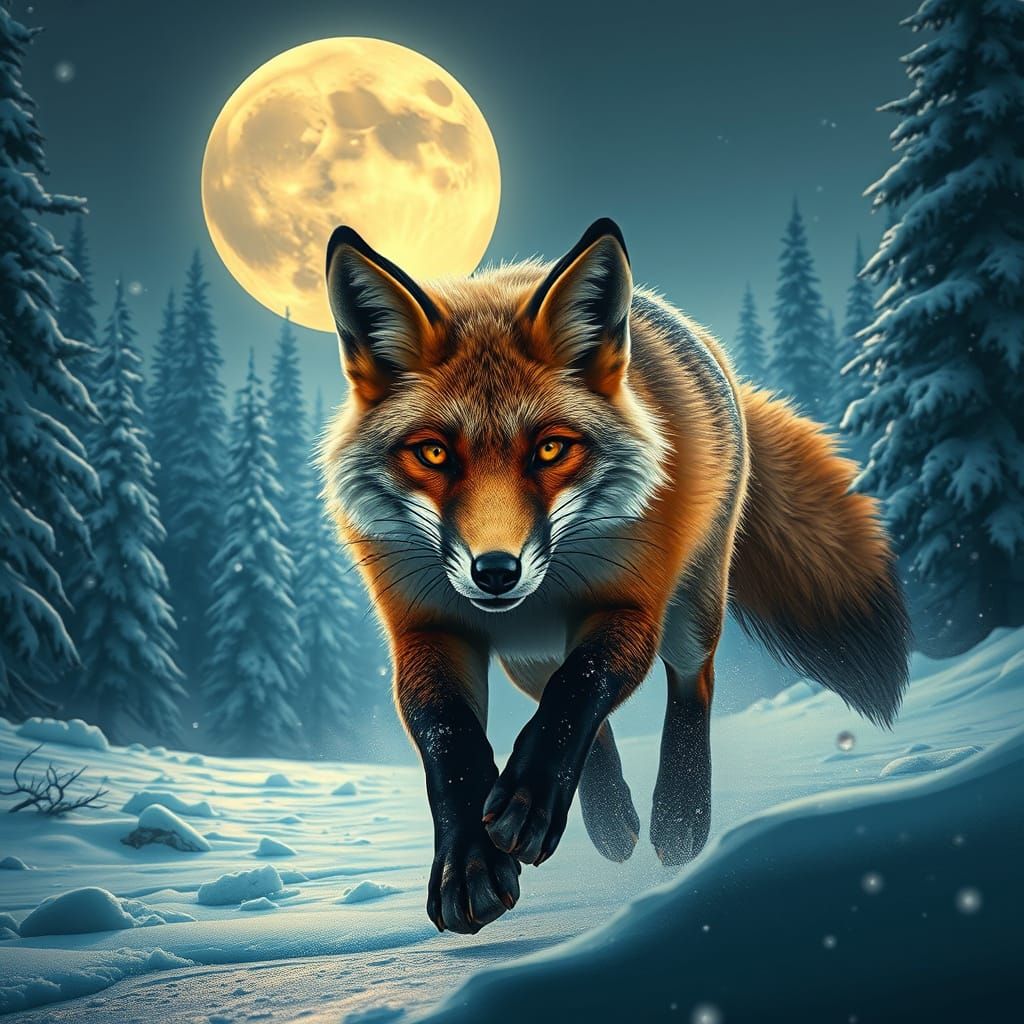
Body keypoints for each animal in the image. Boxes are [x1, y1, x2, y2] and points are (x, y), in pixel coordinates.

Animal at [319, 217, 911, 935]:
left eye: (551, 448)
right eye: (433, 453)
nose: (496, 572)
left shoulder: (633, 605)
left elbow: (583, 685)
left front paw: (529, 800)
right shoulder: (427, 628)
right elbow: (449, 735)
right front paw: (471, 861)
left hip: (692, 608)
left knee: (690, 681)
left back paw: (678, 819)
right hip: (526, 654)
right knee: (570, 702)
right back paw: (610, 820)